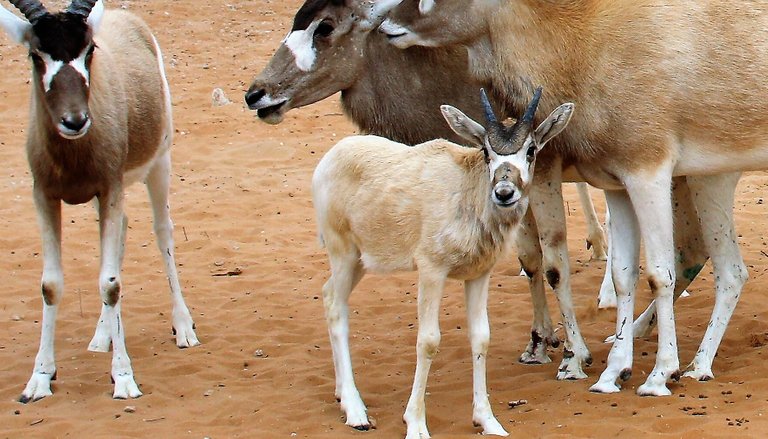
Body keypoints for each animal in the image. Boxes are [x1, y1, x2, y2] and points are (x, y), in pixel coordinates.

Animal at [0, 0, 201, 404]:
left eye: (88, 50)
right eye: (35, 54)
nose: (75, 121)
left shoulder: (110, 189)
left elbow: (110, 283)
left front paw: (123, 379)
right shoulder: (45, 195)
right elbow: (51, 285)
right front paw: (39, 378)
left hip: (159, 164)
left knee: (163, 231)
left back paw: (183, 327)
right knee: (122, 232)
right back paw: (102, 335)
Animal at [310, 87, 568, 438]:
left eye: (530, 150)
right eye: (486, 151)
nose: (504, 192)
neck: (467, 189)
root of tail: (332, 157)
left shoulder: (479, 274)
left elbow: (481, 337)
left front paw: (487, 419)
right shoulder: (432, 271)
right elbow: (428, 341)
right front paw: (416, 423)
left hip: (360, 260)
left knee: (327, 295)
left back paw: (341, 394)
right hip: (343, 253)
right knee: (336, 306)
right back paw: (355, 410)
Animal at [380, 0, 752, 396]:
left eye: (531, 151)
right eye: (485, 152)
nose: (387, 25)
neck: (589, 43)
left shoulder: (645, 174)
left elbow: (654, 274)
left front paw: (655, 375)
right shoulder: (618, 185)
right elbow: (622, 275)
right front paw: (611, 372)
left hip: (708, 180)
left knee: (727, 271)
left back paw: (696, 365)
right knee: (719, 266)